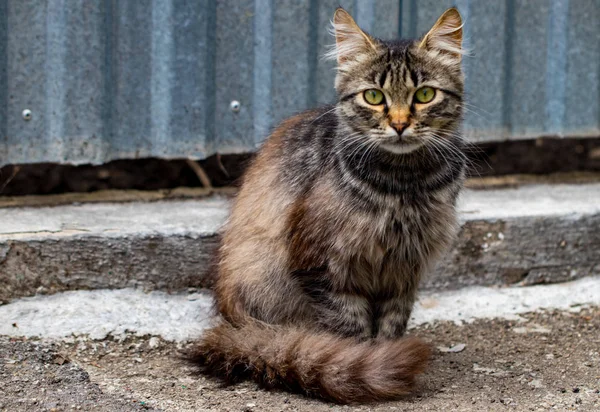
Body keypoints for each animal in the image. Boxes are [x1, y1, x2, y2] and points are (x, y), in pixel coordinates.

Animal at [195, 6, 466, 404]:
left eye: (425, 94)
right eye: (374, 97)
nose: (400, 124)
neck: (405, 184)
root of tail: (232, 327)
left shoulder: (403, 269)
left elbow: (391, 324)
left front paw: (384, 355)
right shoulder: (324, 265)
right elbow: (350, 327)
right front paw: (367, 363)